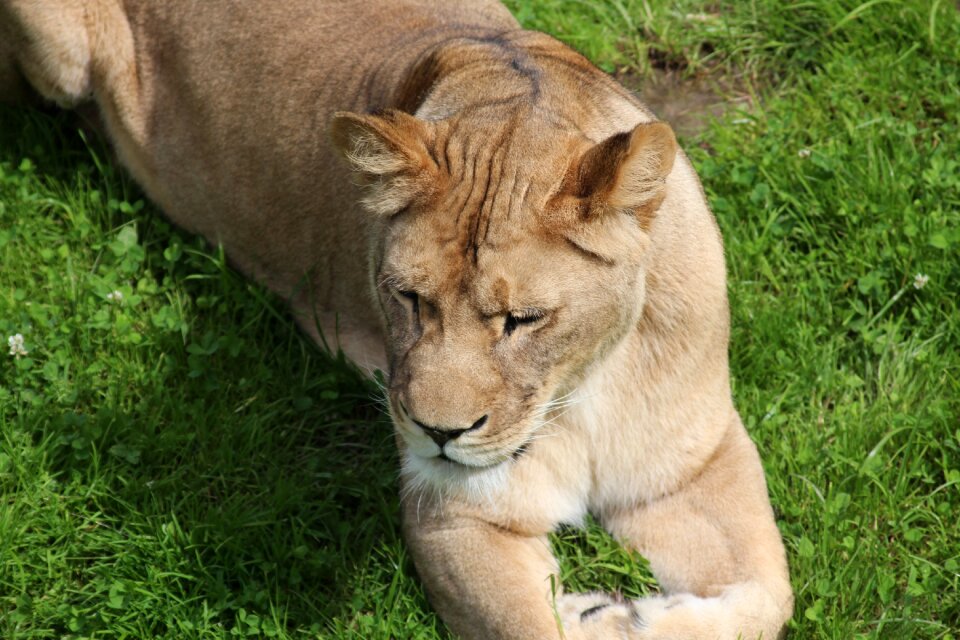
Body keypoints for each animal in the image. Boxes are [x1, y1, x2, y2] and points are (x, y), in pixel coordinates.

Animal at [0, 2, 796, 636]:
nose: (439, 434)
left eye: (524, 319)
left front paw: (627, 615)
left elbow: (770, 597)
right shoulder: (453, 514)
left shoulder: (694, 462)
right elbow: (529, 626)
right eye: (408, 298)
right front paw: (592, 614)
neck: (578, 392)